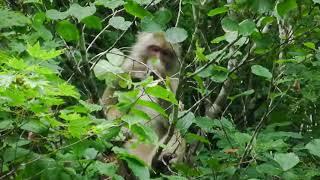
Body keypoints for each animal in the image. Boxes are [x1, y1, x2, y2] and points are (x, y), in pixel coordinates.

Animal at [101, 32, 186, 170]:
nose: (157, 61)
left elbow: (173, 120)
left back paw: (164, 159)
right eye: (155, 49)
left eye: (165, 53)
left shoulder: (174, 80)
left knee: (176, 133)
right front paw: (117, 122)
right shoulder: (127, 69)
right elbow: (107, 102)